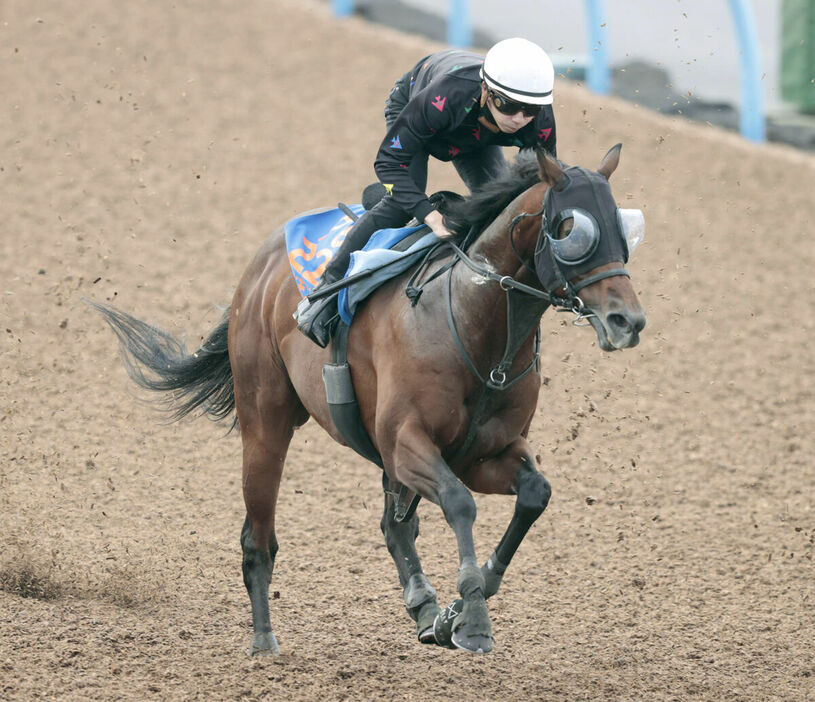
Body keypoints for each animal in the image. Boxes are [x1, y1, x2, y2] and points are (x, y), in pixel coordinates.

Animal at [92, 146, 648, 656]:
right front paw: (471, 619)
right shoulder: (406, 442)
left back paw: (422, 606)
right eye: (570, 228)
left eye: (623, 230)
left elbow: (534, 494)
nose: (628, 321)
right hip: (266, 422)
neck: (473, 322)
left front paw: (458, 608)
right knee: (259, 537)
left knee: (394, 525)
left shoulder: (484, 455)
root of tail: (261, 266)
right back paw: (264, 640)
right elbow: (459, 503)